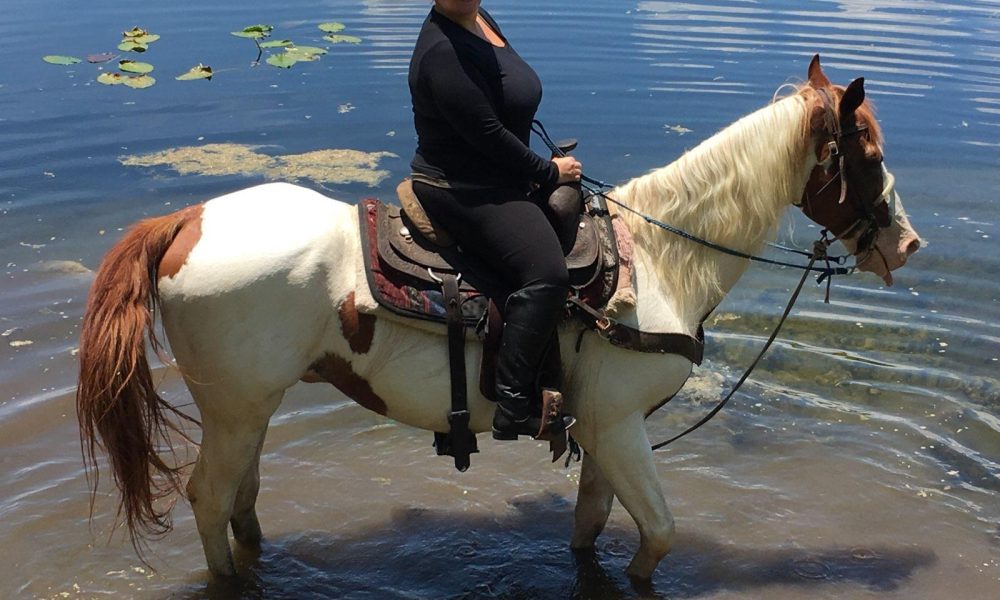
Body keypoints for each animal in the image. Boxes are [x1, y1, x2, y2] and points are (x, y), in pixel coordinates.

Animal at [76, 56, 921, 581]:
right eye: (868, 151)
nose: (906, 244)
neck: (656, 259)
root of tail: (185, 220)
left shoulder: (605, 430)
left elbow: (591, 528)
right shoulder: (619, 426)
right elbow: (658, 537)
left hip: (249, 410)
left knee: (241, 506)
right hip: (235, 408)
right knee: (209, 503)